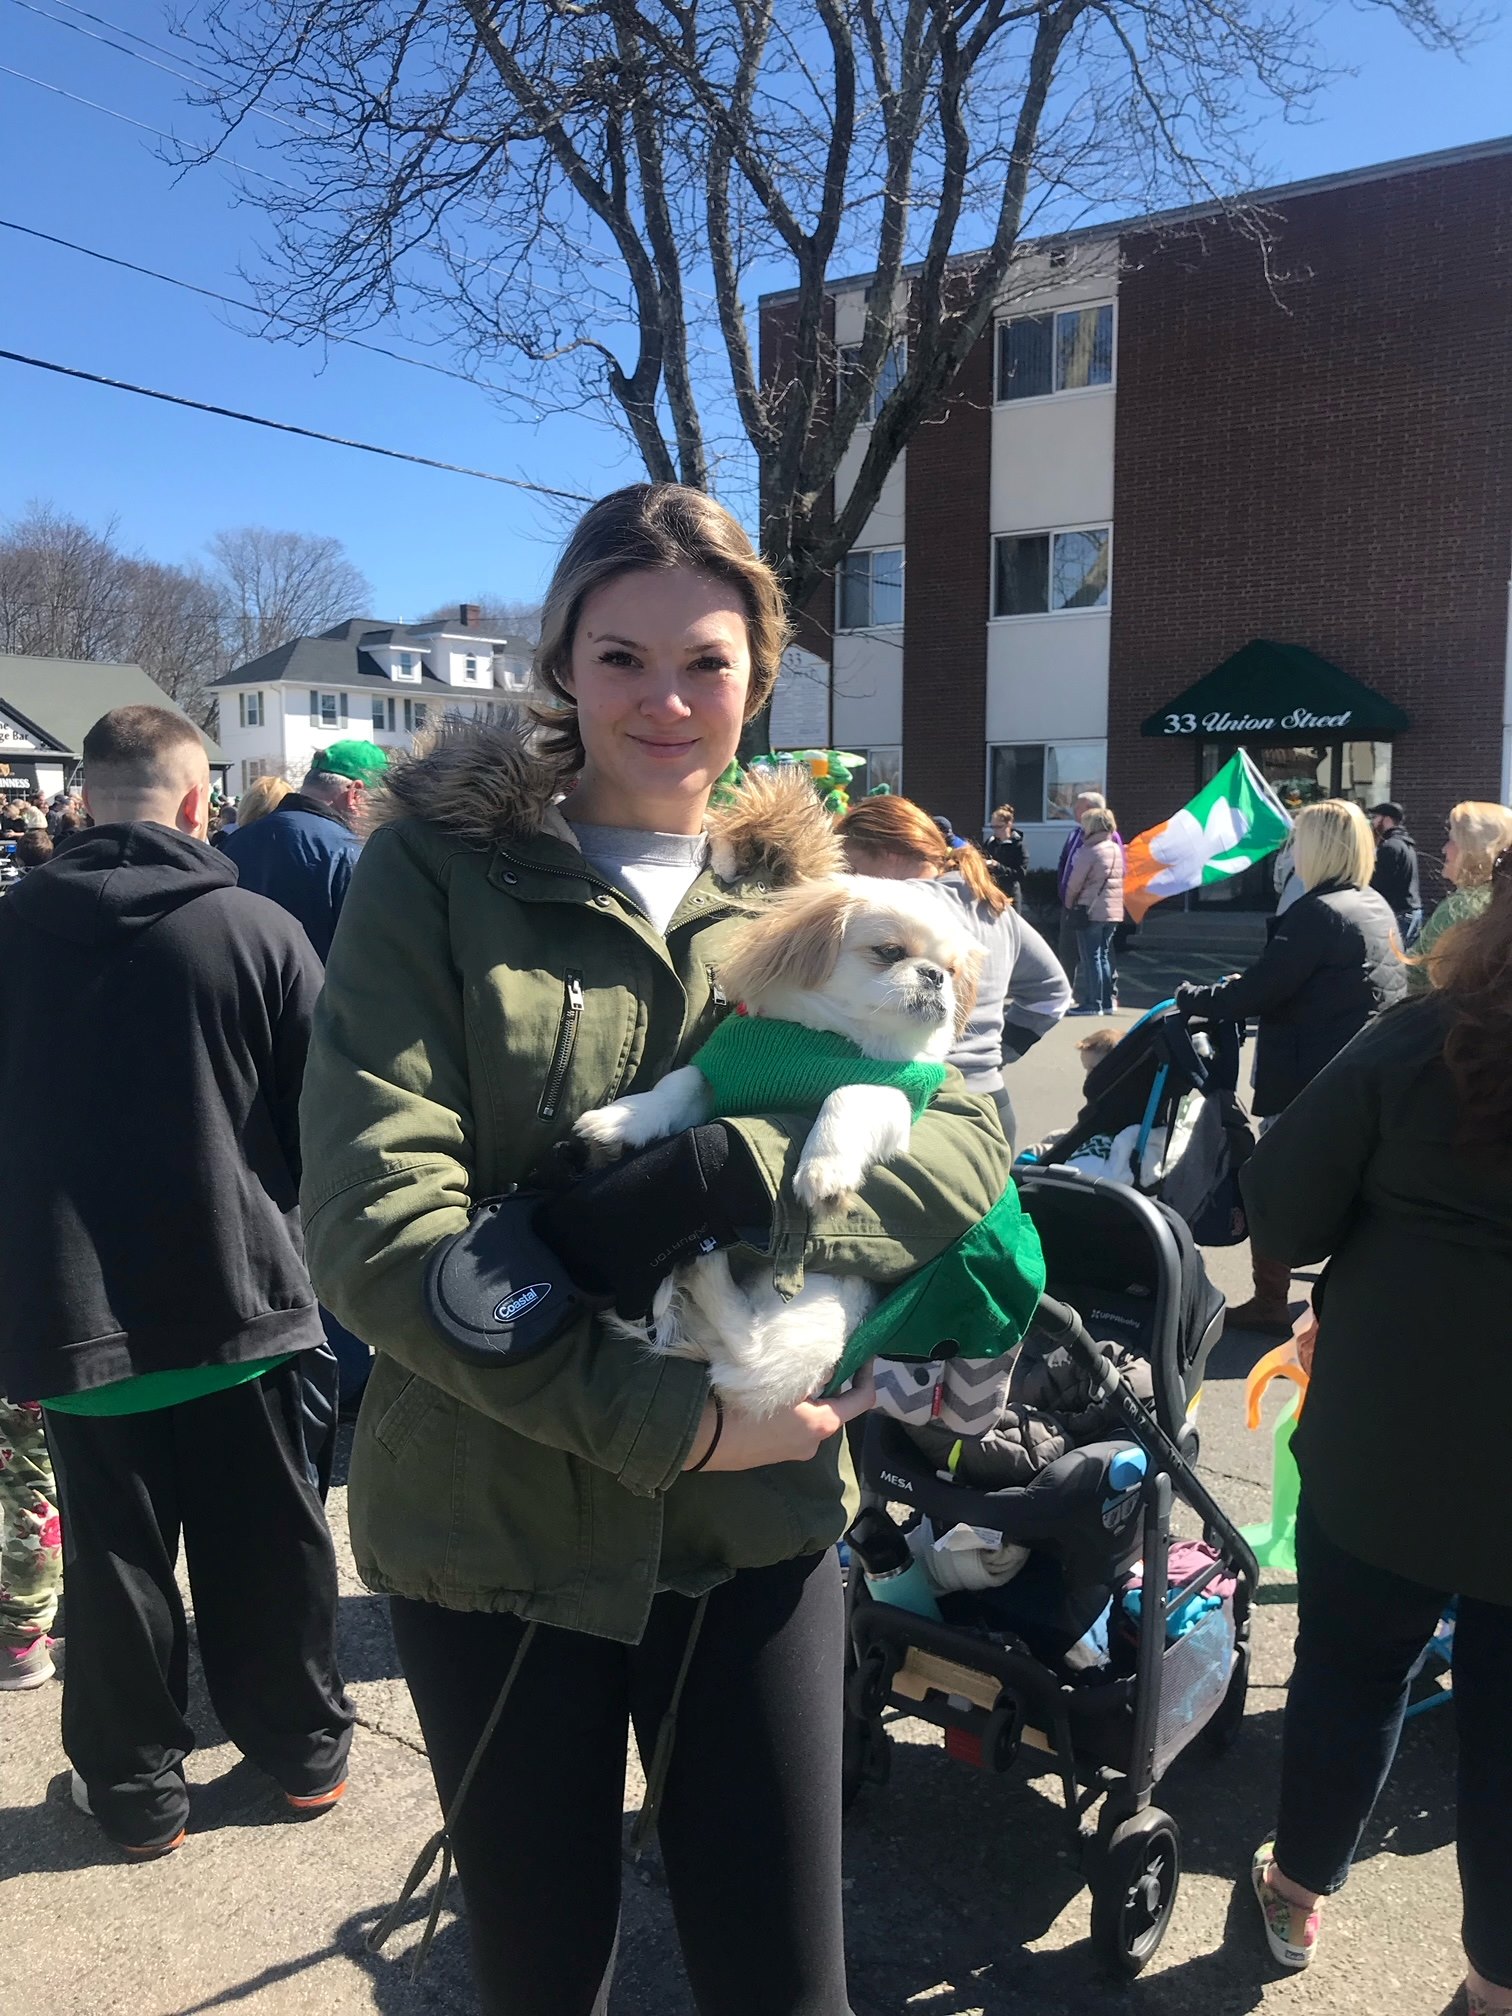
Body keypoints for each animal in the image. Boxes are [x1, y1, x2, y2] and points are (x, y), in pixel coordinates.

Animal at [572, 878, 983, 1419]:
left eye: (953, 971)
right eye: (890, 952)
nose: (936, 976)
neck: (828, 1039)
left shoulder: (897, 1097)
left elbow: (846, 1093)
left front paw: (824, 1169)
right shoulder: (717, 1072)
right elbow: (678, 1085)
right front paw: (623, 1120)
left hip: (824, 1296)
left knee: (750, 1348)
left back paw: (705, 1269)